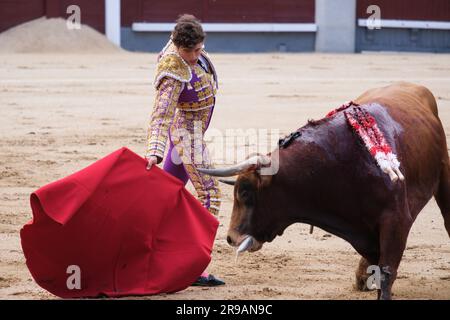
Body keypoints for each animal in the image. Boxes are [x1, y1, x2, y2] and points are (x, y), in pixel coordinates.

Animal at [200, 82, 450, 300]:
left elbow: (386, 271)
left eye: (245, 193)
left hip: (444, 173)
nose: (231, 238)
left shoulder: (396, 220)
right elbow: (375, 260)